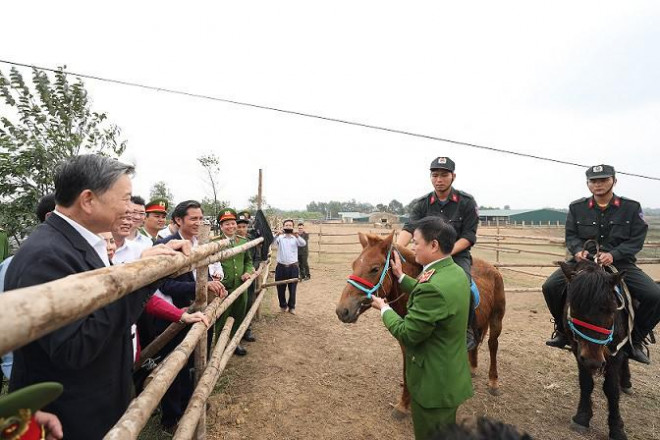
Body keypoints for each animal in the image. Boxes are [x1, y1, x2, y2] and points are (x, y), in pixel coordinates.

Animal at [336, 230, 506, 416]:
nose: (342, 311)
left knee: (493, 345)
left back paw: (494, 382)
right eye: (354, 265)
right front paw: (404, 404)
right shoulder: (406, 343)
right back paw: (472, 368)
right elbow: (406, 372)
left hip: (497, 320)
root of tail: (493, 269)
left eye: (374, 269)